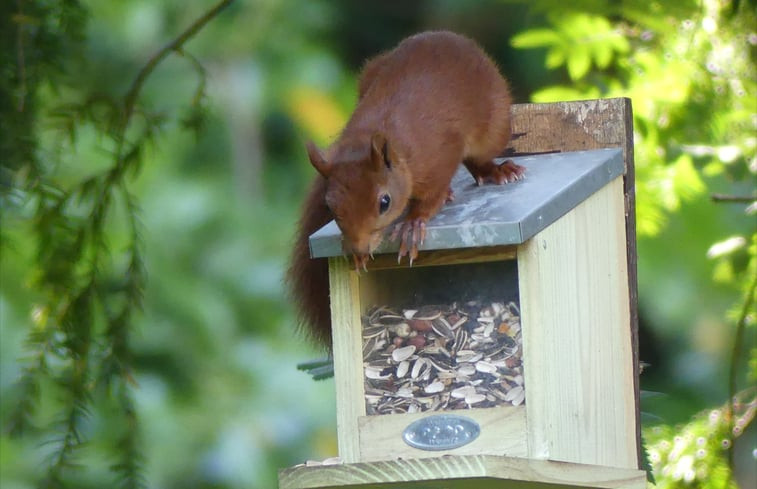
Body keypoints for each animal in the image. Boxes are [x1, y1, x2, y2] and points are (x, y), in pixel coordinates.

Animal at [286, 30, 524, 346]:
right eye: (330, 207)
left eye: (384, 203)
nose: (358, 246)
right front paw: (360, 254)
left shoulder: (441, 156)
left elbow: (433, 195)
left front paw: (413, 224)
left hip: (494, 123)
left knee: (479, 158)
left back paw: (495, 172)